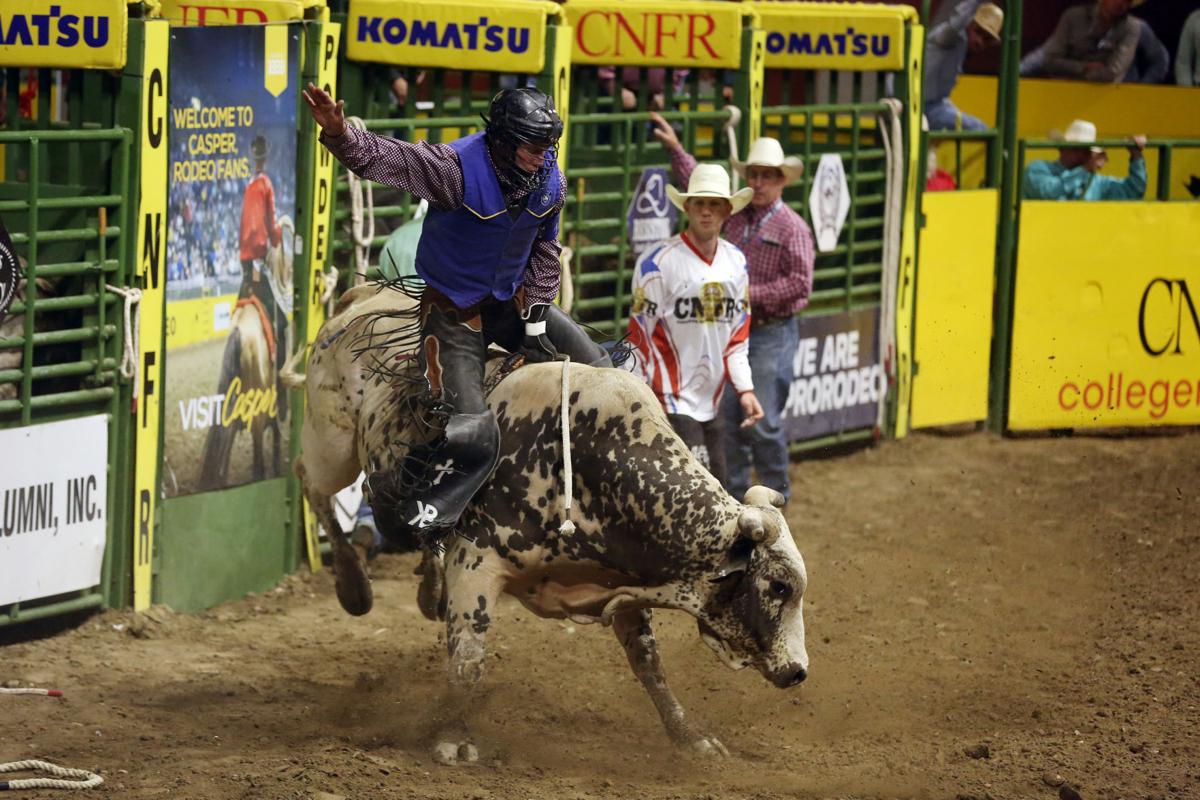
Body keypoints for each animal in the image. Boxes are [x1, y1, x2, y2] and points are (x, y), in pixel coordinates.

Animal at [286, 283, 811, 762]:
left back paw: (426, 591)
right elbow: (468, 662)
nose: (798, 670)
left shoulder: (624, 577)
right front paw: (451, 737)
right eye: (779, 586)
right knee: (310, 481)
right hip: (332, 442)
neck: (588, 464)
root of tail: (363, 294)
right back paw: (353, 586)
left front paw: (691, 739)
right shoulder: (476, 561)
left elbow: (649, 664)